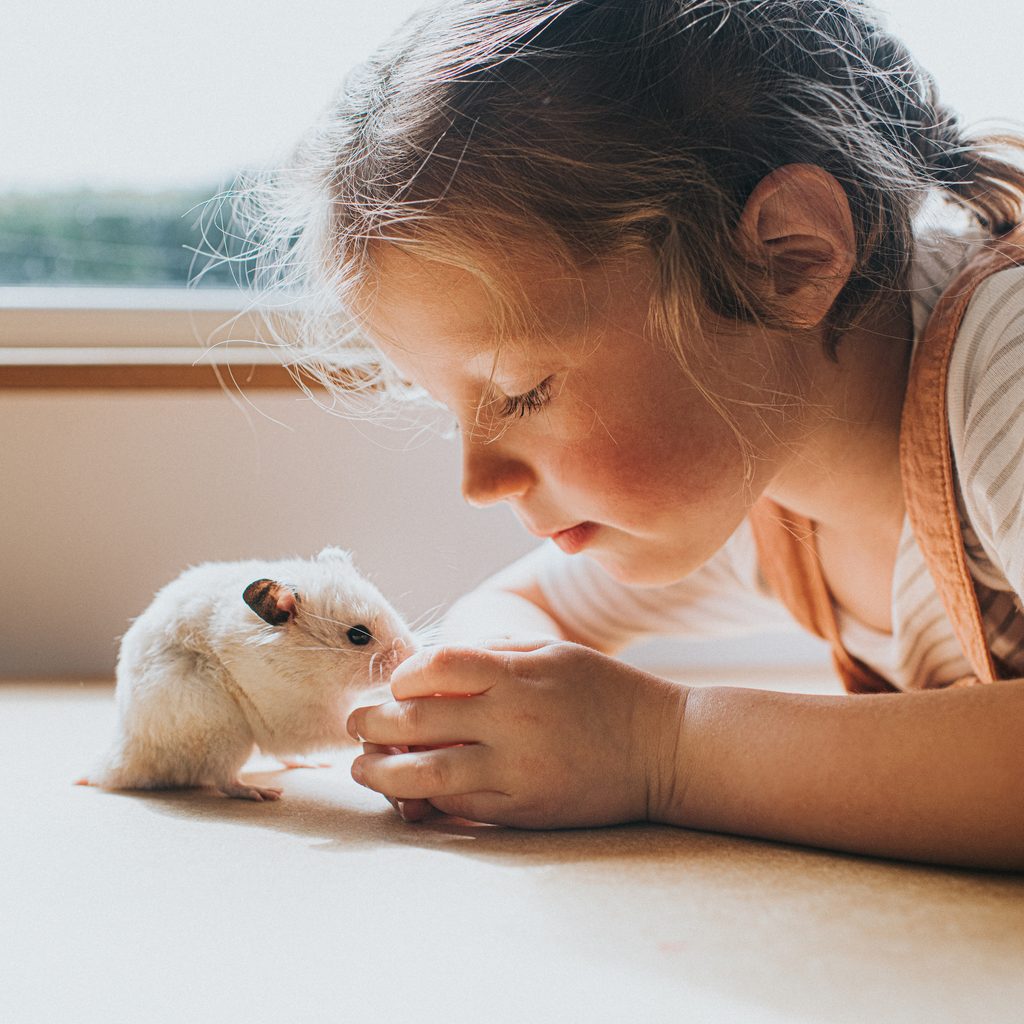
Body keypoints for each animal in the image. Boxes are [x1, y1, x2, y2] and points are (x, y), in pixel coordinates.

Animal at [80, 547, 415, 801]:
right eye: (358, 635)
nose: (409, 655)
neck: (312, 668)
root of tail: (124, 758)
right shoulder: (295, 716)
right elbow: (343, 725)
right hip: (223, 730)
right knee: (224, 780)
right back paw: (260, 793)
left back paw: (311, 765)